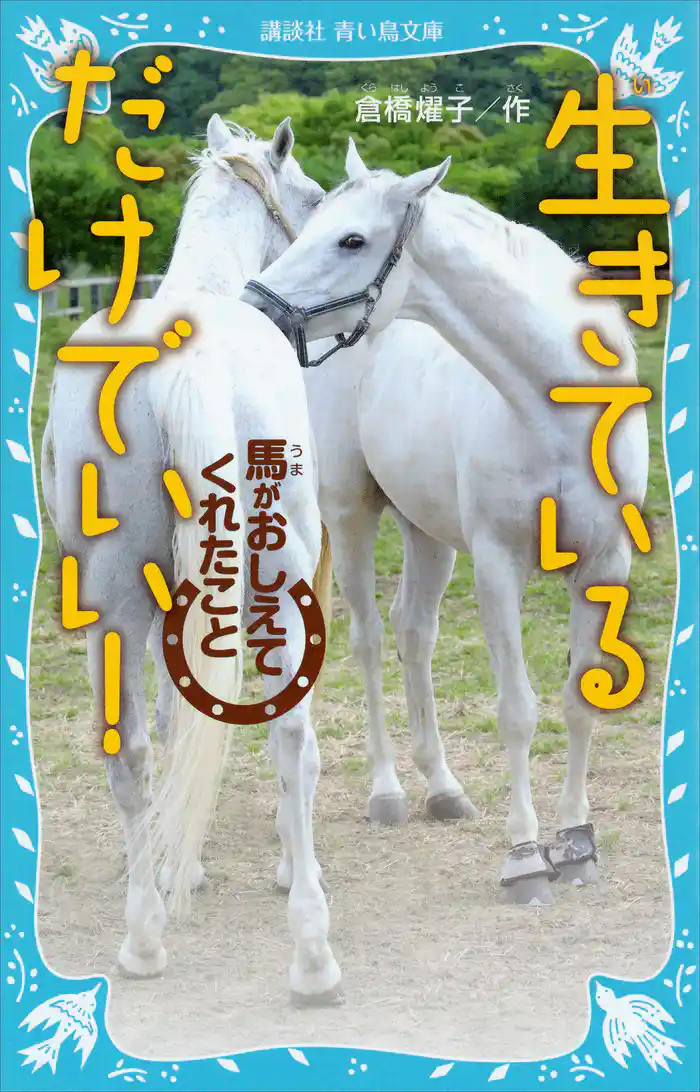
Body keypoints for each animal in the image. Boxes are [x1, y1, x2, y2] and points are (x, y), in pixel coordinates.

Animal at [40, 115, 344, 1003]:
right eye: (315, 199)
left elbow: (178, 721)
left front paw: (183, 863)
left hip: (113, 599)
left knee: (132, 748)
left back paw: (144, 936)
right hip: (274, 579)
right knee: (289, 732)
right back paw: (311, 953)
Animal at [243, 140, 649, 905]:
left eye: (351, 239)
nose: (255, 309)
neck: (558, 408)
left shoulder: (604, 562)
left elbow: (579, 701)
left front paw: (577, 846)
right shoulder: (497, 564)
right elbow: (518, 711)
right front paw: (525, 859)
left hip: (427, 534)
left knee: (414, 633)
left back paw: (442, 787)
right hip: (353, 515)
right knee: (371, 640)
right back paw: (389, 793)